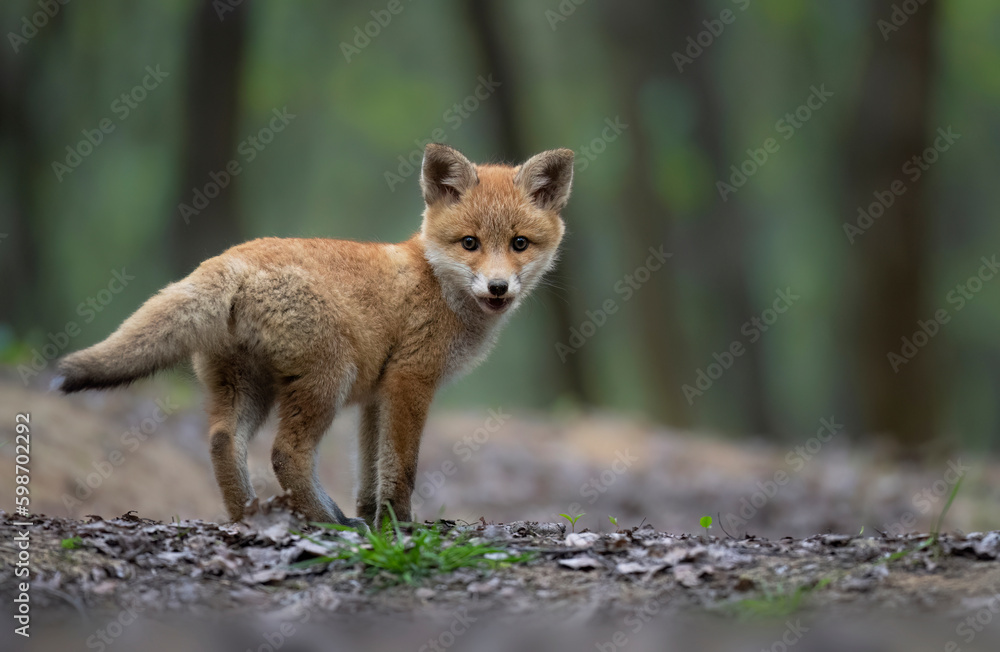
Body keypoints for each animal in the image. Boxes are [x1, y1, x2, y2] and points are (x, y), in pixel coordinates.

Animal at [56, 143, 573, 528]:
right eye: (470, 243)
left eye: (519, 244)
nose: (498, 287)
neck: (435, 282)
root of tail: (231, 259)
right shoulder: (410, 381)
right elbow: (402, 468)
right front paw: (400, 528)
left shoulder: (377, 395)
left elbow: (371, 470)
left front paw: (375, 519)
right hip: (328, 379)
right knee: (286, 454)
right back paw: (327, 523)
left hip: (248, 386)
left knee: (223, 441)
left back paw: (250, 517)